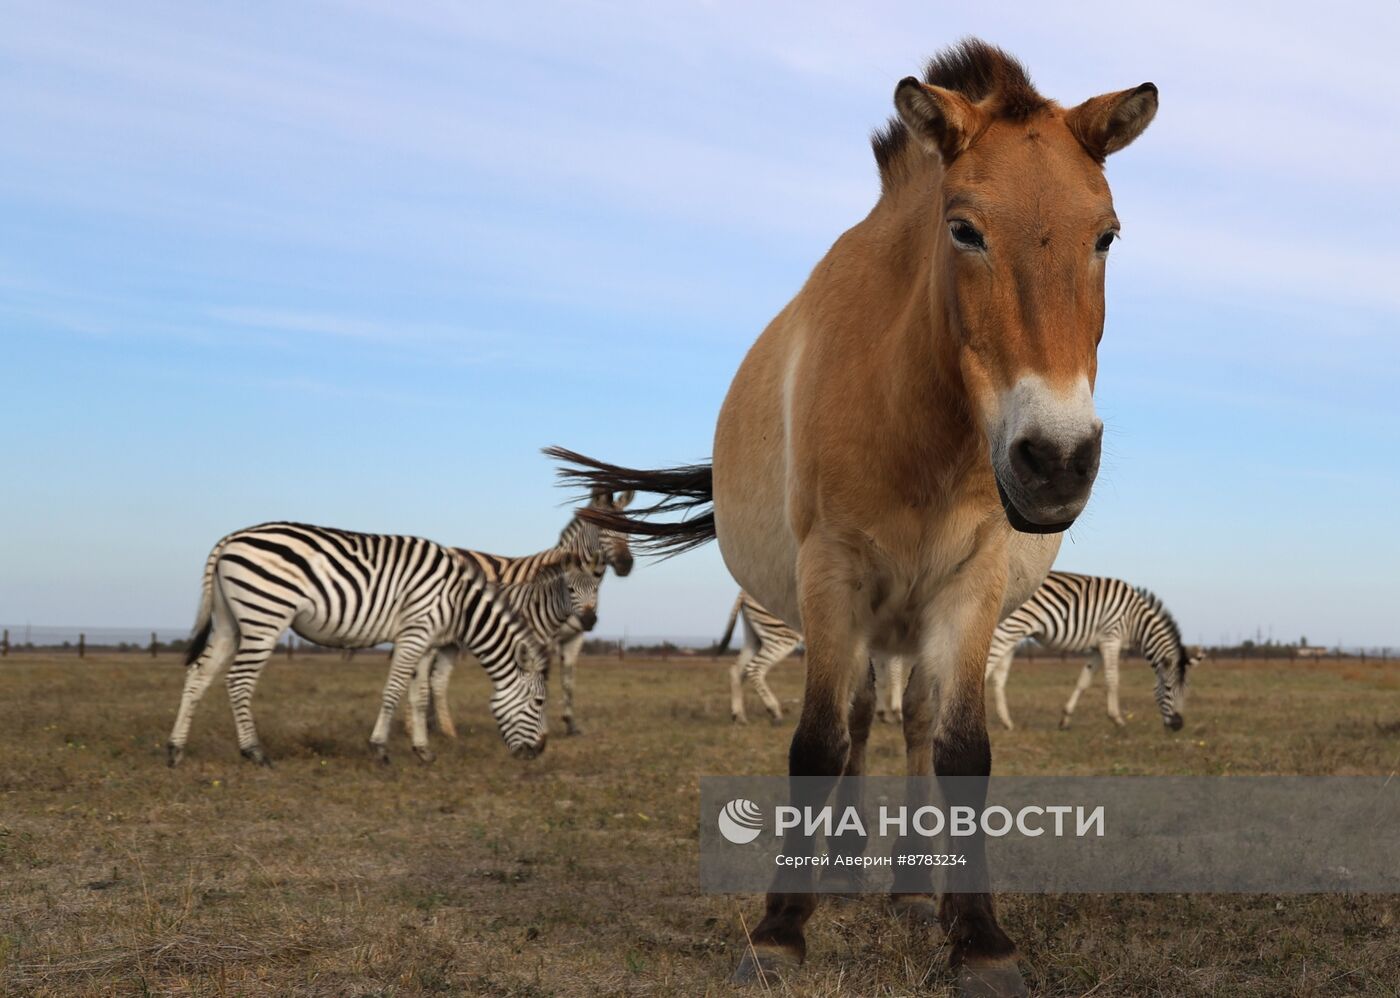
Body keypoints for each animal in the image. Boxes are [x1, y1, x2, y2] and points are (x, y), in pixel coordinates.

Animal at [168, 520, 551, 761]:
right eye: (539, 702)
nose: (540, 751)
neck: (459, 602)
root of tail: (230, 538)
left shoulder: (426, 642)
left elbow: (419, 696)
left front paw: (423, 751)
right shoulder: (414, 632)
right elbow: (394, 690)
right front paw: (379, 747)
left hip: (229, 621)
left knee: (199, 674)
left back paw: (176, 749)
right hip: (265, 614)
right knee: (238, 680)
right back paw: (254, 751)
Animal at [414, 489, 635, 733]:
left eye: (630, 528)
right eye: (603, 528)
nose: (626, 564)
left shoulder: (574, 637)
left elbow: (568, 680)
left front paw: (571, 724)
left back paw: (433, 724)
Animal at [551, 40, 1153, 996]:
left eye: (1106, 235)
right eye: (964, 229)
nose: (1055, 460)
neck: (922, 421)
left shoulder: (973, 582)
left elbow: (961, 751)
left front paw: (980, 939)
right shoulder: (832, 574)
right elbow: (817, 741)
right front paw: (778, 932)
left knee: (911, 724)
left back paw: (912, 890)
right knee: (864, 719)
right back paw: (837, 873)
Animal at [985, 571, 1204, 727]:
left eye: (1185, 690)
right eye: (1168, 689)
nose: (1178, 725)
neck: (1136, 621)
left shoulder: (1098, 648)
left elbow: (1084, 680)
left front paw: (1065, 719)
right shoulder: (1111, 639)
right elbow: (1113, 679)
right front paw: (1117, 719)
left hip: (1013, 634)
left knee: (998, 677)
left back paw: (1007, 722)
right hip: (1009, 629)